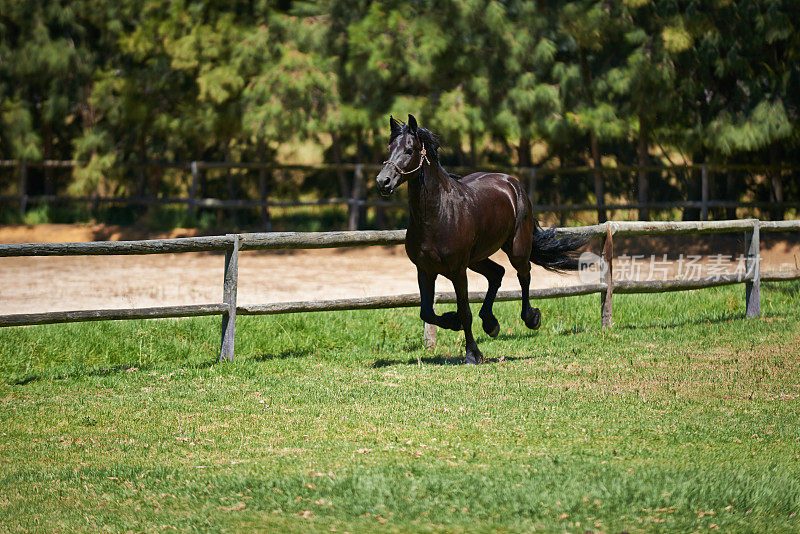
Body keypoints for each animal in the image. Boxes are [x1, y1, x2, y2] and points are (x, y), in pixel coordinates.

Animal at [376, 113, 588, 364]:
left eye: (409, 150)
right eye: (389, 148)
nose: (383, 181)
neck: (438, 214)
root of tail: (511, 182)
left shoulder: (458, 270)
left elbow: (465, 312)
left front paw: (472, 354)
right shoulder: (425, 270)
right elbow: (426, 312)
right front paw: (453, 321)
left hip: (515, 249)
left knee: (523, 274)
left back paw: (531, 318)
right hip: (476, 258)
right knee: (497, 273)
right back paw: (490, 323)